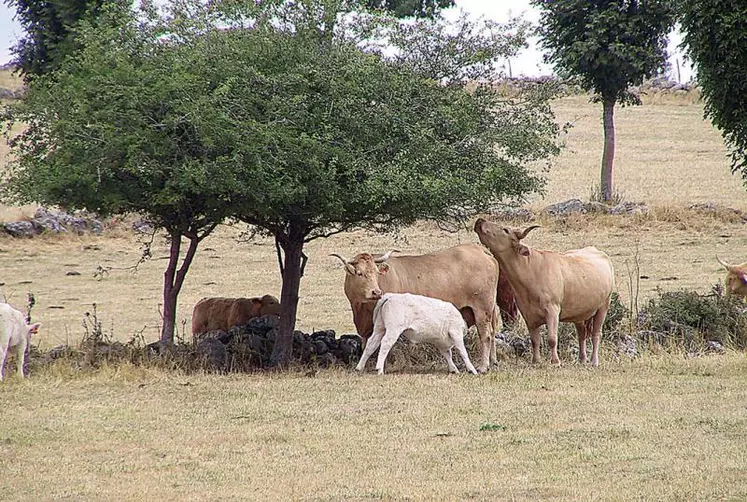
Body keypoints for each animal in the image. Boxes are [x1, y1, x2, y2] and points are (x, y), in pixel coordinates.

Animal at [334, 243, 502, 372]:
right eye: (359, 273)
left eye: (376, 273)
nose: (376, 292)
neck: (360, 309)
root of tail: (479, 249)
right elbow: (367, 343)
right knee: (492, 334)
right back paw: (493, 362)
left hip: (482, 310)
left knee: (486, 336)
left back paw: (483, 366)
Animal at [476, 218, 616, 366]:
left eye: (505, 230)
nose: (480, 220)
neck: (532, 269)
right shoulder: (528, 314)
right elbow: (535, 340)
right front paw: (536, 361)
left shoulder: (552, 310)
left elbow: (552, 339)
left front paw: (555, 361)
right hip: (580, 312)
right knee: (582, 334)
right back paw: (582, 359)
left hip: (603, 306)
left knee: (596, 333)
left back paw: (594, 361)